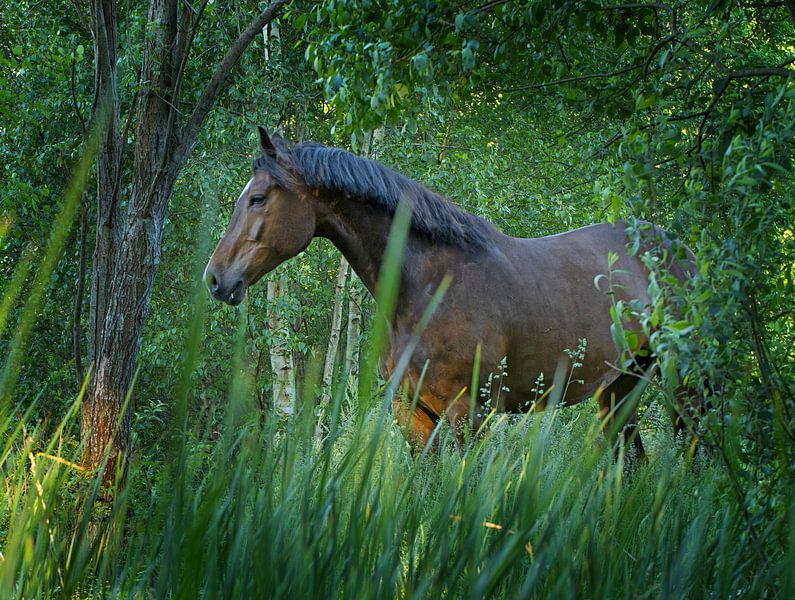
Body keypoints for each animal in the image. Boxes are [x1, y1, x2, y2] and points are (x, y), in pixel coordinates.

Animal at [204, 127, 699, 458]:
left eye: (258, 199)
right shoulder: (414, 416)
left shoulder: (470, 416)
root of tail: (677, 247)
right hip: (621, 388)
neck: (428, 288)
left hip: (685, 381)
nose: (214, 278)